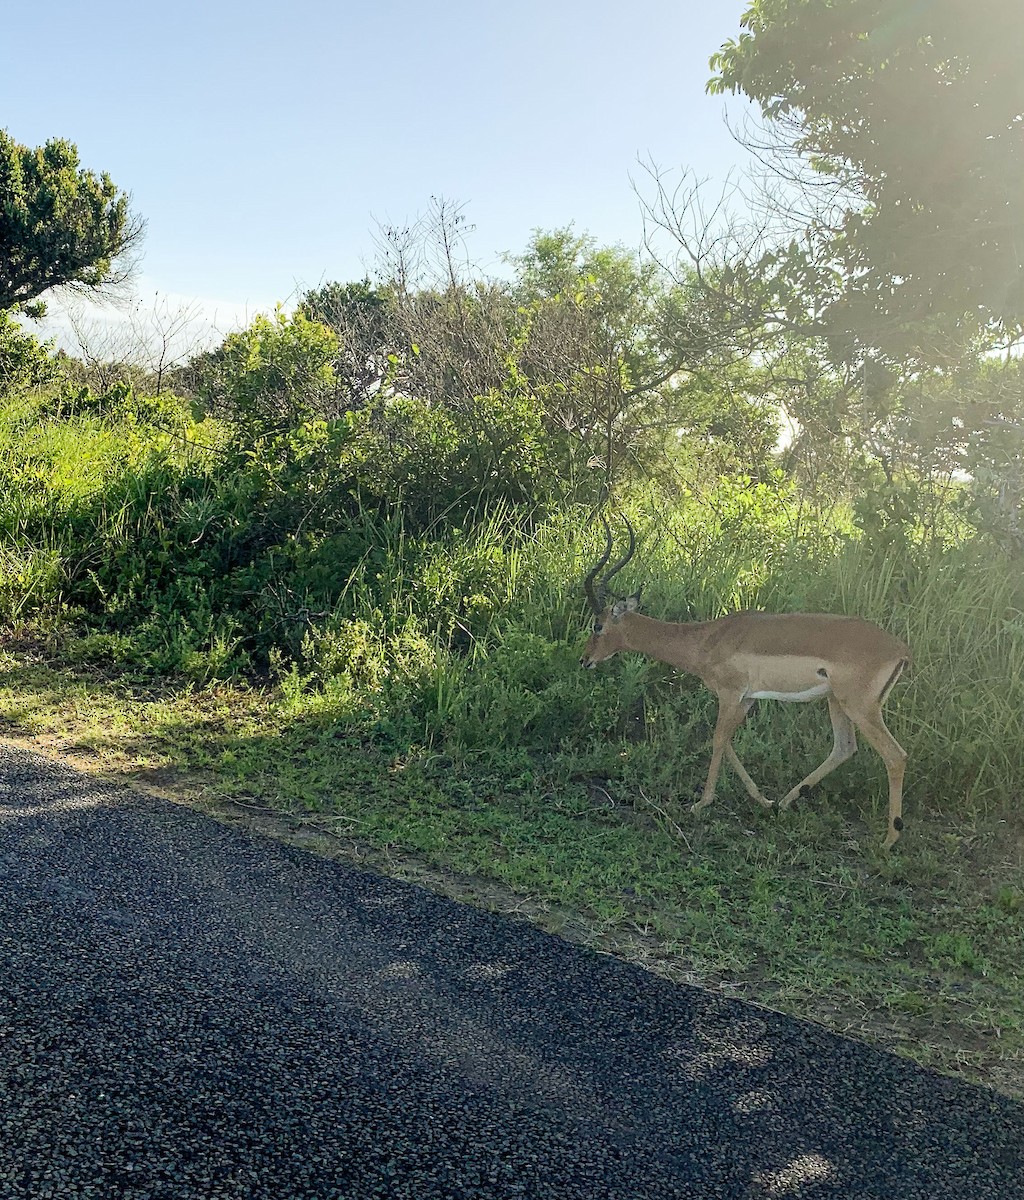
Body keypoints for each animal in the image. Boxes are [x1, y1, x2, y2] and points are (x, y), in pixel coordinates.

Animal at [579, 518, 911, 849]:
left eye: (597, 625)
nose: (585, 660)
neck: (708, 639)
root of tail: (901, 649)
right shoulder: (746, 698)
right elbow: (728, 743)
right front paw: (763, 800)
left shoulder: (729, 694)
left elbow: (717, 740)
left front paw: (701, 803)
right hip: (836, 702)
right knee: (844, 748)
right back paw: (785, 802)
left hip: (859, 708)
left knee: (895, 756)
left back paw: (888, 840)